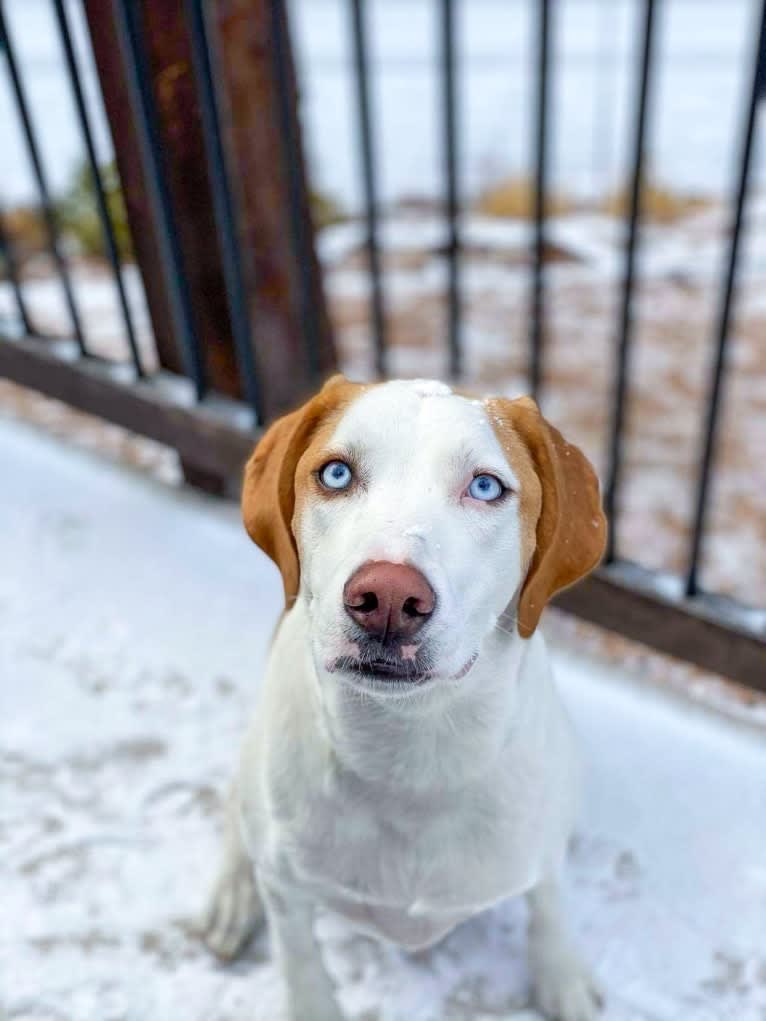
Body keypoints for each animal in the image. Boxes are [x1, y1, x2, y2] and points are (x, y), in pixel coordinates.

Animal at [202, 377, 604, 1021]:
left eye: (486, 486)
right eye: (336, 474)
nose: (388, 597)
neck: (411, 754)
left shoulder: (540, 851)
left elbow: (548, 904)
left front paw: (560, 976)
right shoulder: (288, 893)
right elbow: (301, 962)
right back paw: (232, 896)